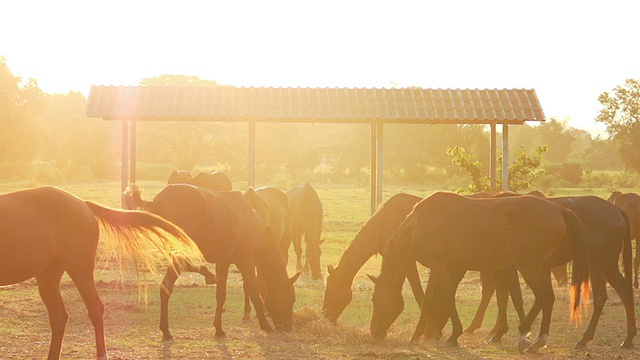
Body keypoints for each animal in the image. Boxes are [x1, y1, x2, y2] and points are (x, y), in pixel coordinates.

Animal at [125, 184, 300, 338]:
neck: (255, 224)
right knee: (168, 285)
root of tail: (158, 201)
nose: (287, 328)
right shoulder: (245, 260)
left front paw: (218, 328)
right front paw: (265, 326)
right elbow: (253, 290)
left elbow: (221, 294)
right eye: (290, 299)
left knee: (167, 285)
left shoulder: (223, 262)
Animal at [368, 193, 588, 352]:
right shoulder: (449, 268)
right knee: (547, 299)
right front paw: (441, 335)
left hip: (530, 268)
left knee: (544, 297)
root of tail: (560, 209)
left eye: (375, 300)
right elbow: (441, 298)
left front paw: (424, 336)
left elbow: (432, 300)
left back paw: (525, 335)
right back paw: (537, 341)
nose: (375, 332)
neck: (418, 223)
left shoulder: (440, 267)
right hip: (540, 269)